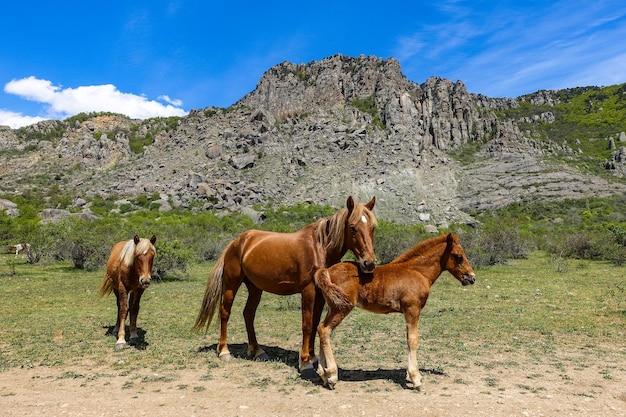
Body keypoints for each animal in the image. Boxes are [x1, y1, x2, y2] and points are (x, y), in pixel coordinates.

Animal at [193, 196, 376, 370]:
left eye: (372, 227)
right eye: (352, 227)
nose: (369, 263)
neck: (319, 248)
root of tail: (236, 242)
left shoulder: (320, 294)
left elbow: (315, 323)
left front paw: (312, 357)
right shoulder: (308, 291)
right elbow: (307, 325)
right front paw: (304, 362)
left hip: (255, 288)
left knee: (248, 314)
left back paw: (256, 350)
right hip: (232, 285)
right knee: (225, 312)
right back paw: (224, 351)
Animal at [314, 232, 476, 388]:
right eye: (458, 256)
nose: (472, 278)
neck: (418, 272)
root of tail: (327, 270)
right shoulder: (412, 310)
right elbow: (412, 339)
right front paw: (416, 379)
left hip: (333, 307)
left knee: (321, 328)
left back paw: (324, 375)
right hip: (341, 308)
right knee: (325, 330)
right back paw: (332, 376)